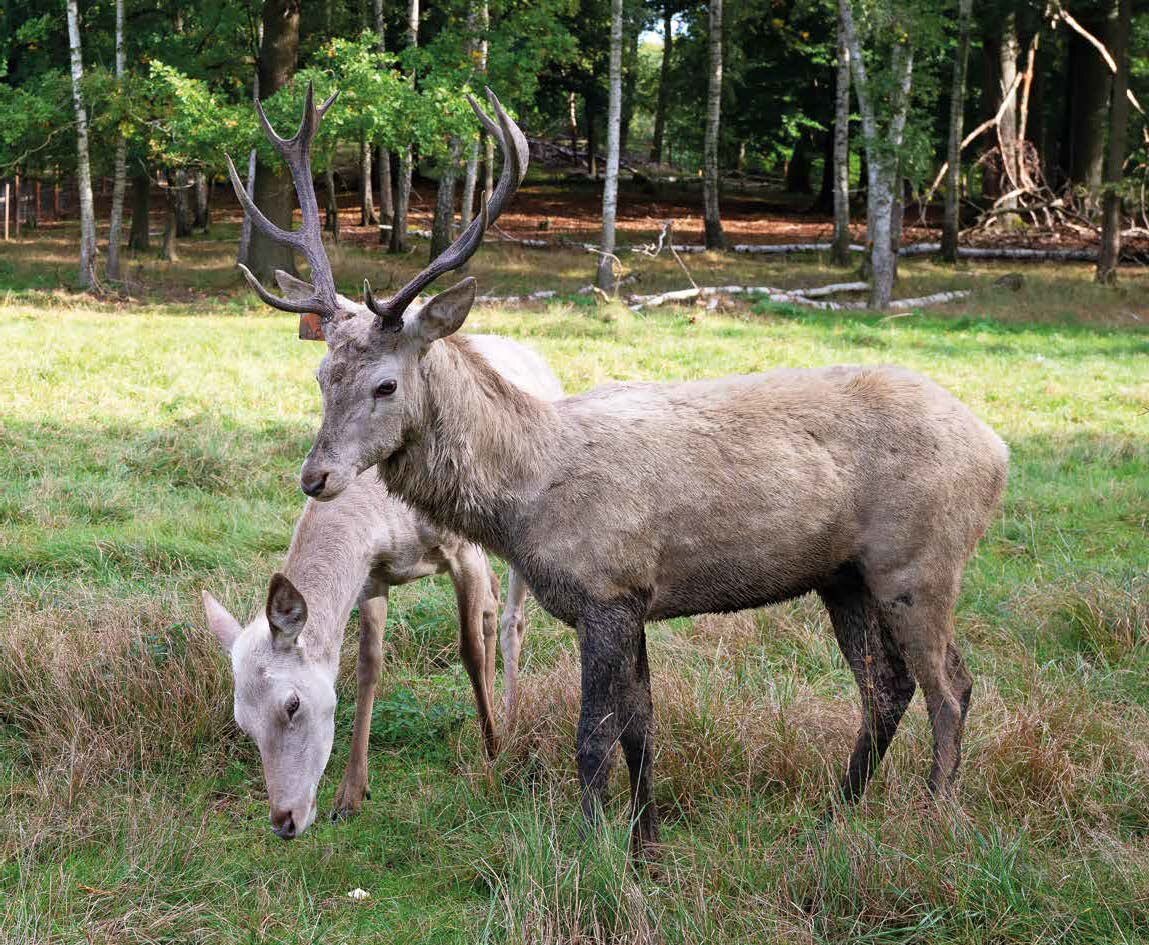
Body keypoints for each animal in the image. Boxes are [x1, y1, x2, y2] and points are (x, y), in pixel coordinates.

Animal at [230, 86, 1006, 859]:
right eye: (321, 374)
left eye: (385, 384)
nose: (315, 477)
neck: (526, 497)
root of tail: (998, 452)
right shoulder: (632, 596)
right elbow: (641, 725)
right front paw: (646, 843)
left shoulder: (607, 590)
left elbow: (593, 738)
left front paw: (591, 848)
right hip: (843, 575)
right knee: (885, 687)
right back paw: (835, 814)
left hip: (921, 561)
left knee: (951, 687)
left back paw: (935, 818)